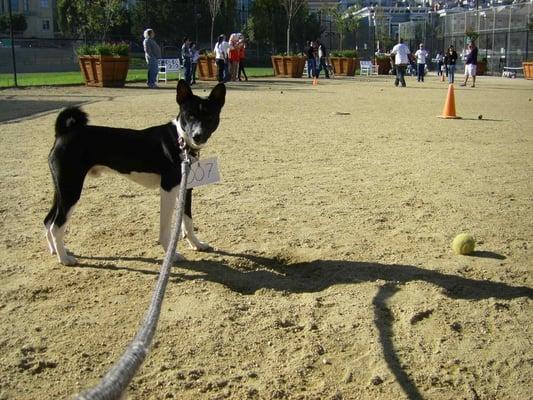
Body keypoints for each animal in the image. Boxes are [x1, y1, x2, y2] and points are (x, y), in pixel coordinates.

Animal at [42, 79, 223, 264]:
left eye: (210, 117)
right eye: (190, 116)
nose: (197, 136)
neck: (180, 141)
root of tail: (63, 133)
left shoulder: (185, 188)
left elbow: (187, 221)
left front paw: (196, 244)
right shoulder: (168, 189)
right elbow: (166, 227)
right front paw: (171, 254)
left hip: (62, 190)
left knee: (48, 221)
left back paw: (55, 251)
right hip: (71, 190)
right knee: (56, 225)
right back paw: (64, 259)